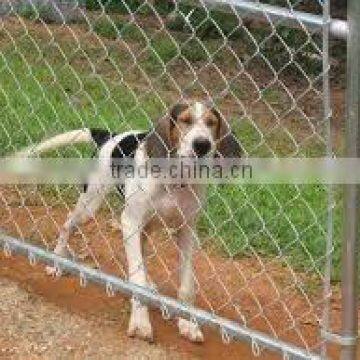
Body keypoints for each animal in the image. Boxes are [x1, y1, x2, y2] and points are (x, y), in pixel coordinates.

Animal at [18, 100, 240, 344]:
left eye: (212, 123)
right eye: (185, 120)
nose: (202, 145)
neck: (175, 178)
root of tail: (111, 136)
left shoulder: (186, 231)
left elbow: (187, 285)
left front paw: (188, 323)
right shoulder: (130, 222)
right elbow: (137, 278)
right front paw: (141, 322)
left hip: (146, 224)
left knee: (141, 253)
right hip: (91, 204)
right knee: (68, 224)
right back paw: (56, 261)